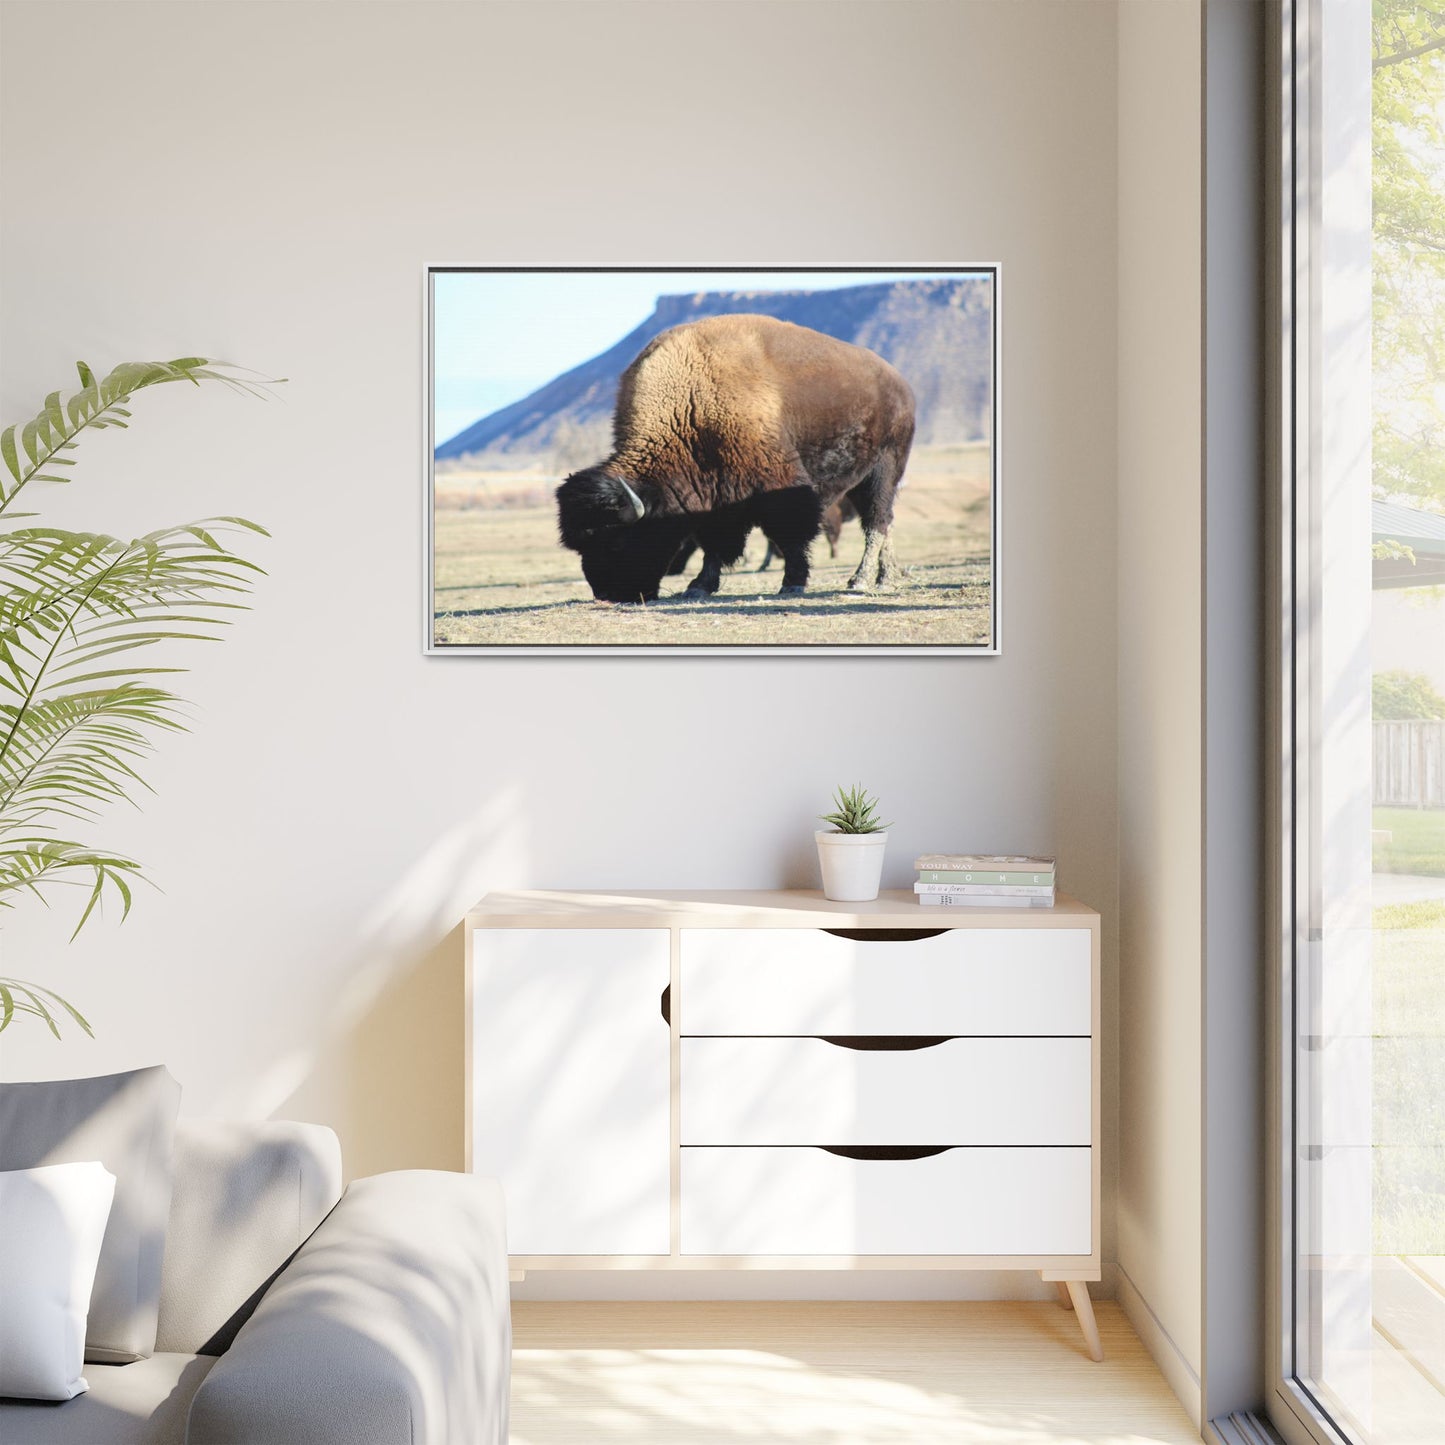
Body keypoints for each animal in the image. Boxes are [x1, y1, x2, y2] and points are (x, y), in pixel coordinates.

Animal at [556, 313, 914, 604]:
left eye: (616, 541)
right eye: (581, 546)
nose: (608, 593)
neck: (690, 403)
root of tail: (899, 383)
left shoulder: (778, 486)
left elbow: (791, 534)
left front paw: (792, 583)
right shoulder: (715, 497)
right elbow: (714, 543)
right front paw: (699, 586)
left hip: (884, 470)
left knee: (876, 521)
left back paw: (862, 580)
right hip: (862, 479)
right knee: (883, 522)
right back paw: (886, 577)